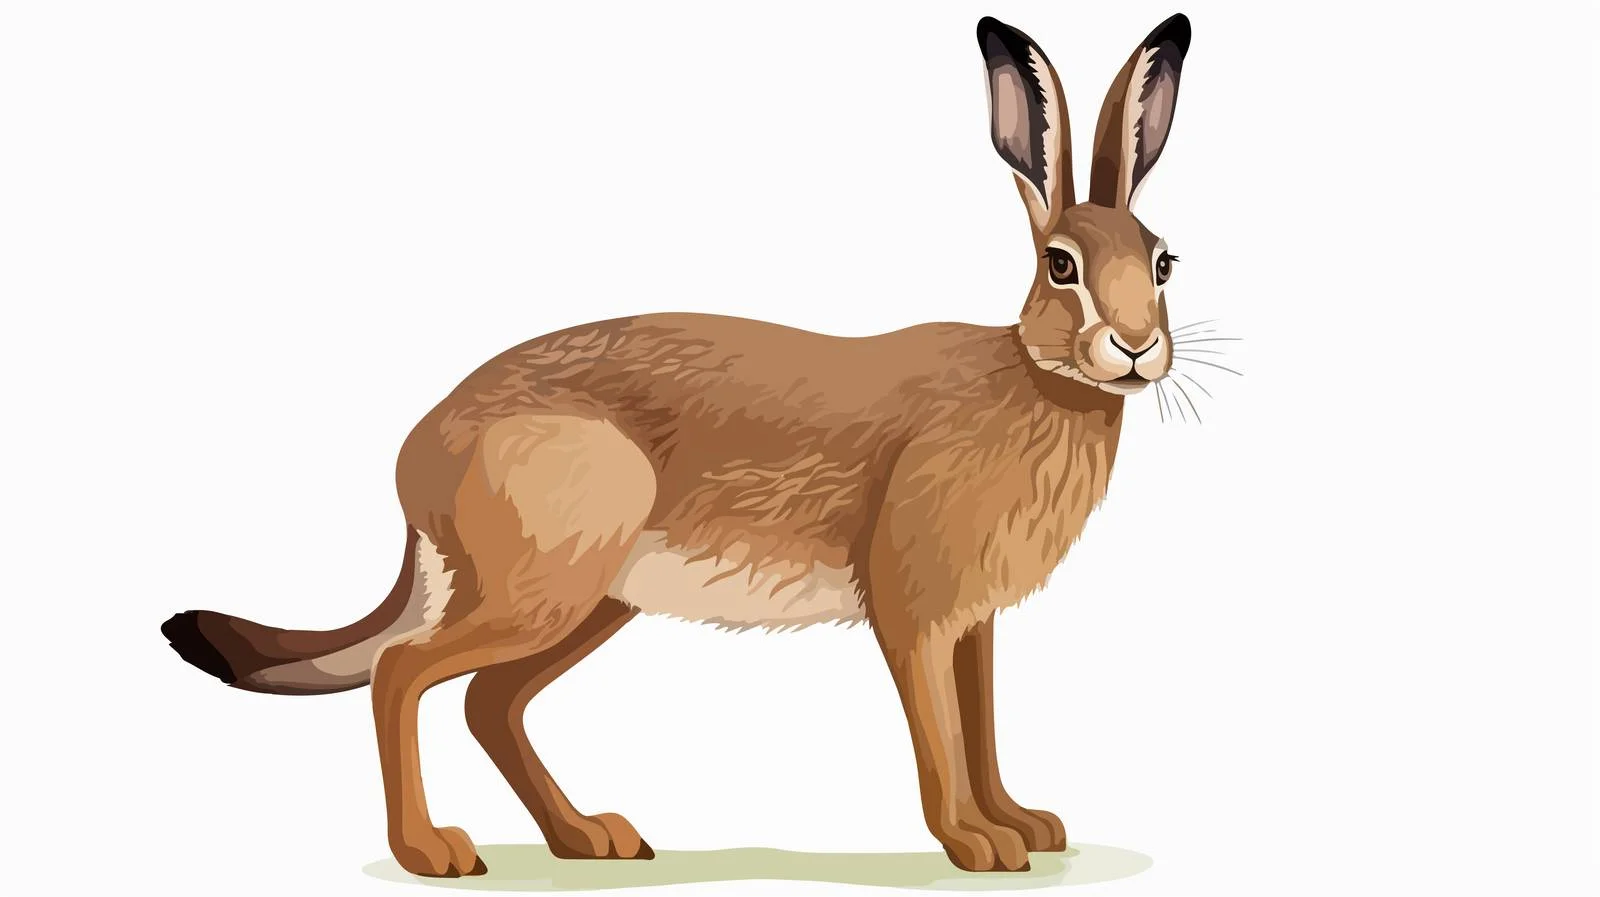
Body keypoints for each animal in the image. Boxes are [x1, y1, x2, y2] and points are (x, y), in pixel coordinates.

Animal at [162, 13, 1193, 877]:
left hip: (592, 598)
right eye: (1059, 266)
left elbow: (980, 723)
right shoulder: (915, 610)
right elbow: (939, 733)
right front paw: (976, 845)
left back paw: (589, 837)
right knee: (400, 672)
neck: (1032, 375)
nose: (1136, 348)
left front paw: (1026, 825)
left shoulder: (973, 623)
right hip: (551, 576)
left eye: (1163, 262)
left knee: (487, 701)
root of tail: (421, 462)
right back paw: (435, 851)